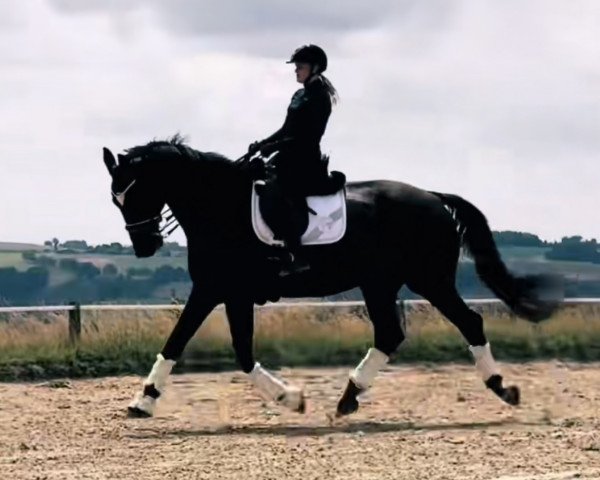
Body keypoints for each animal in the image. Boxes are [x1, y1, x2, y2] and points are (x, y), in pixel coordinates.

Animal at [102, 137, 556, 418]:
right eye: (115, 198)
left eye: (135, 191)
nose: (144, 246)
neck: (220, 207)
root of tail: (433, 197)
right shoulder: (227, 293)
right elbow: (228, 350)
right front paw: (290, 397)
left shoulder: (217, 289)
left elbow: (189, 343)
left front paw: (143, 402)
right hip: (381, 283)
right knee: (390, 334)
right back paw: (349, 398)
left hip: (429, 280)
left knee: (468, 322)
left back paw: (501, 388)